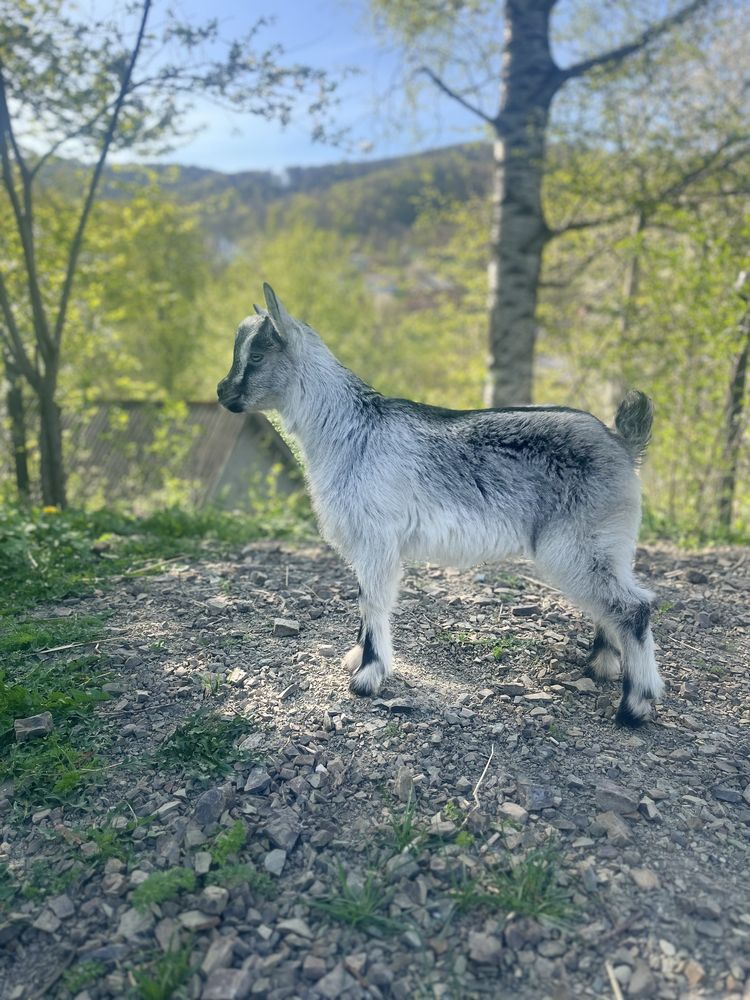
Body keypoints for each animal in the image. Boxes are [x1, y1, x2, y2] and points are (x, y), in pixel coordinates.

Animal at [216, 282, 664, 728]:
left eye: (257, 356)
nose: (222, 391)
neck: (348, 429)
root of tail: (623, 443)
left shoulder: (377, 538)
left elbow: (373, 601)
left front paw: (367, 677)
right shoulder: (366, 544)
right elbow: (364, 599)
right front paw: (357, 658)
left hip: (578, 543)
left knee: (633, 607)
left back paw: (634, 705)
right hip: (608, 545)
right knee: (614, 603)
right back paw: (601, 665)